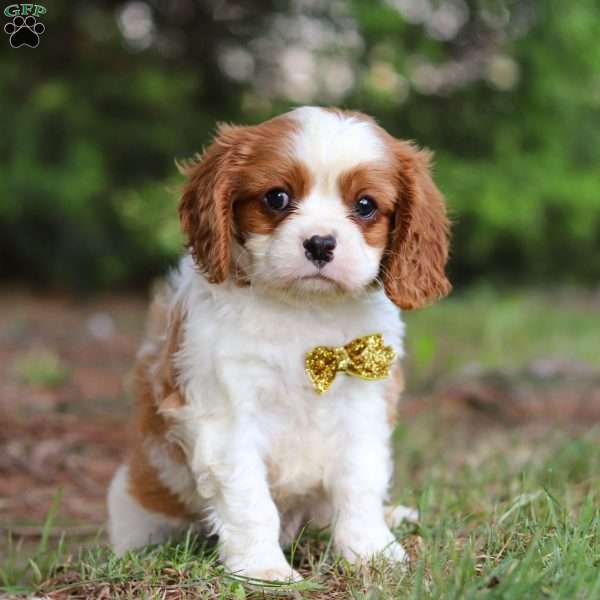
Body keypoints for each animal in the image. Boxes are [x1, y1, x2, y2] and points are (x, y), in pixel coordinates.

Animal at [106, 105, 450, 580]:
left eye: (365, 206)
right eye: (277, 198)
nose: (320, 243)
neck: (304, 311)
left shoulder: (363, 407)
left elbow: (359, 482)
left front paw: (371, 552)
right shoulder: (228, 416)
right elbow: (250, 501)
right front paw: (262, 569)